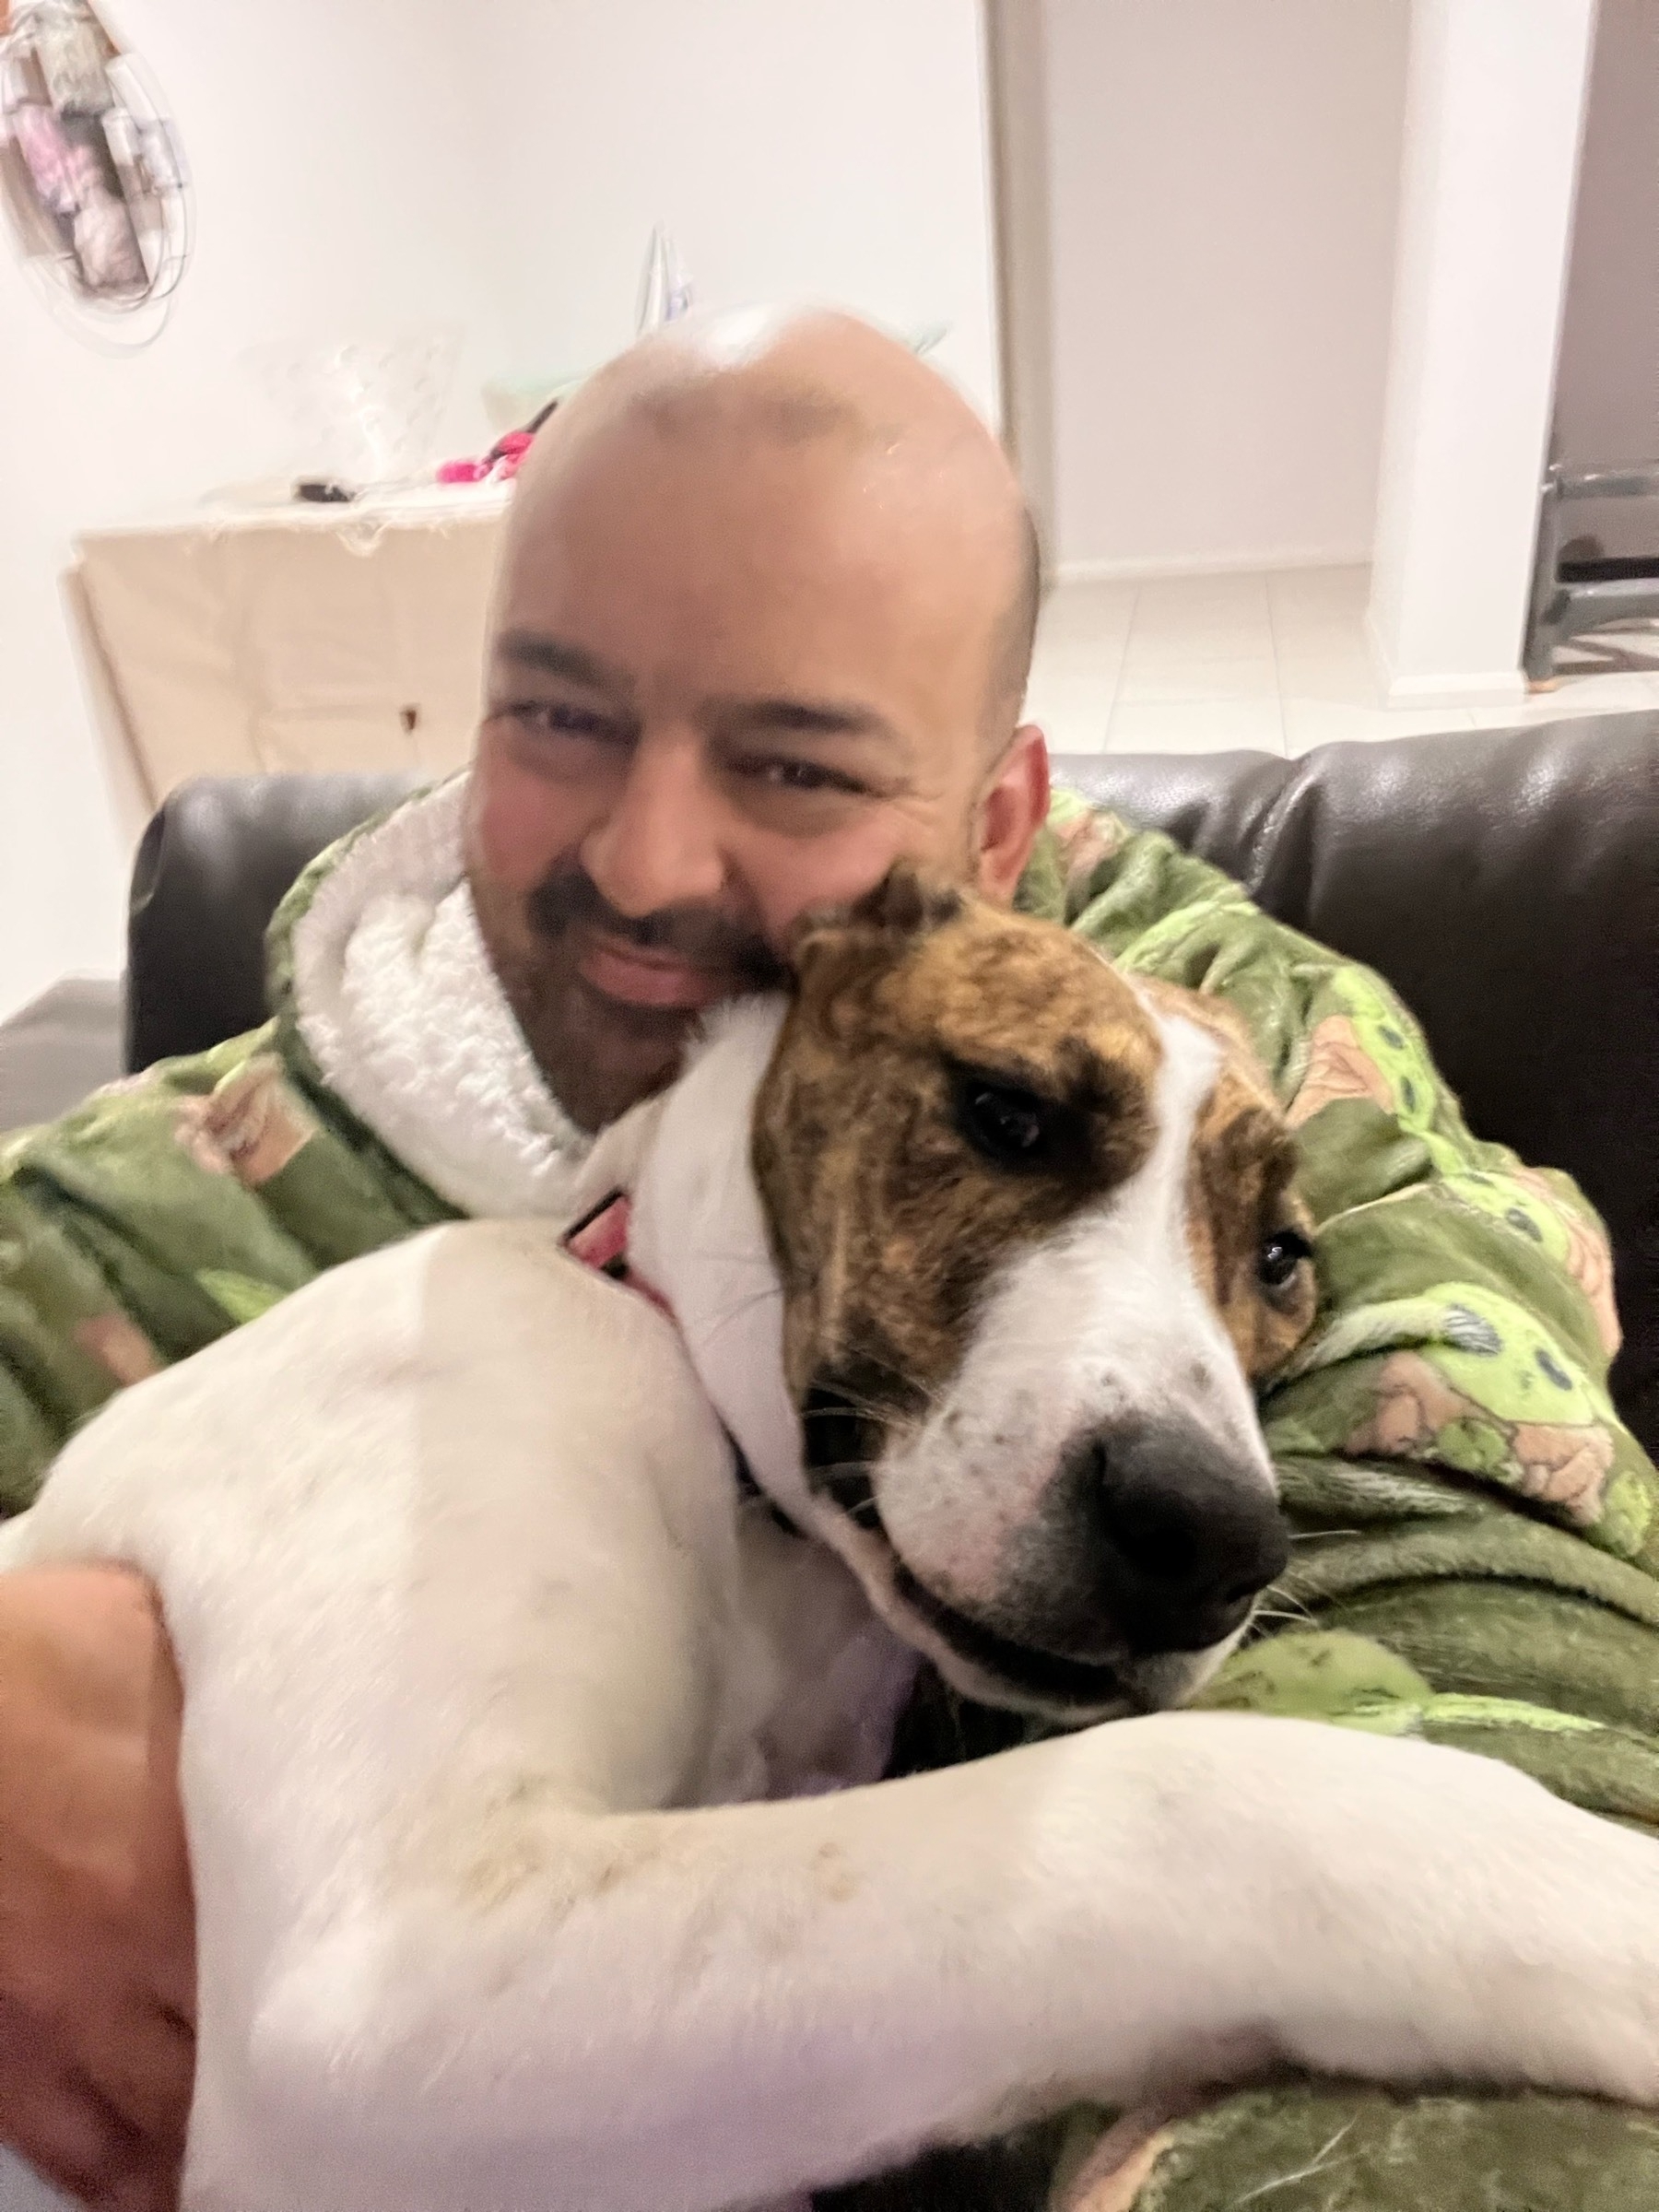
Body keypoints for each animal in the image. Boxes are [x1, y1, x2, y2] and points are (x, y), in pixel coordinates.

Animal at [3, 876, 1659, 2212]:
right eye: (1006, 1113)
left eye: (1278, 1259)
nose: (1208, 1538)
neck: (763, 1539)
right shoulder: (397, 1971)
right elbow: (1177, 1793)